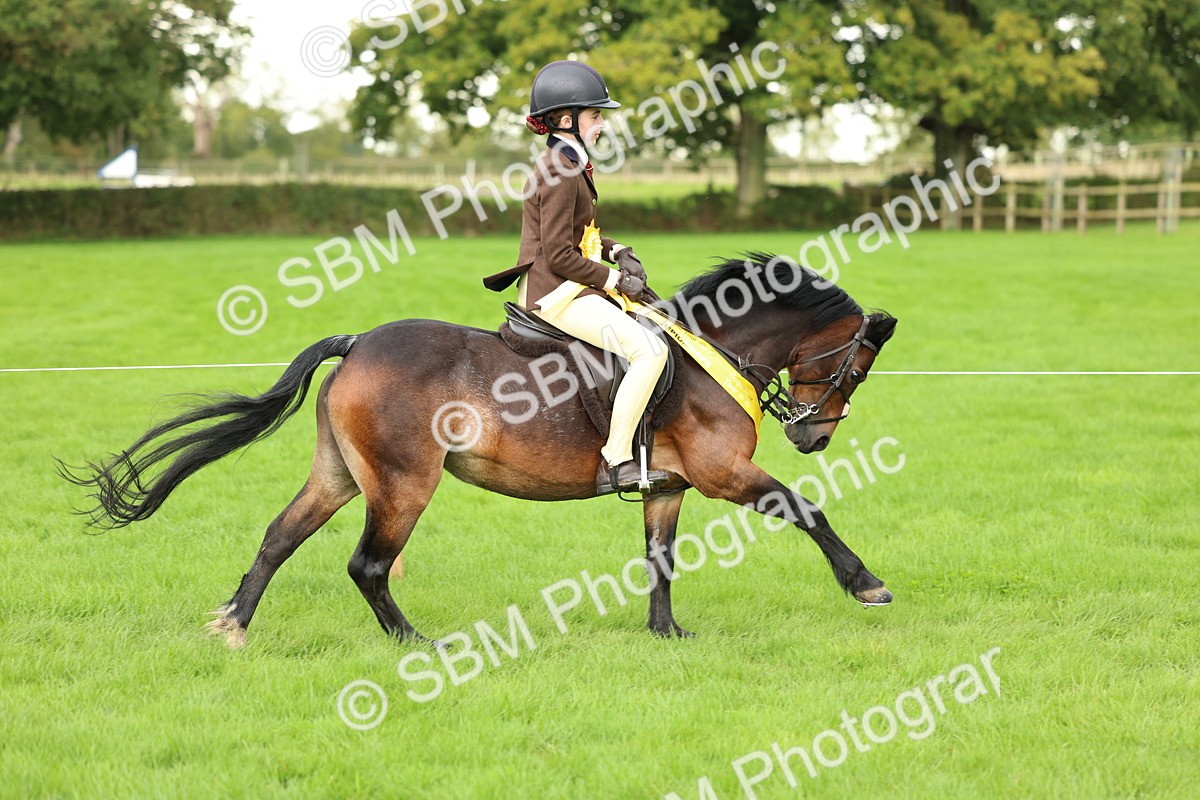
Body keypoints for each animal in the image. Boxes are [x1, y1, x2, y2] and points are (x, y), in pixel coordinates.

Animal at [61, 253, 897, 647]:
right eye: (854, 367)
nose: (814, 435)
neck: (707, 352)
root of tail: (359, 342)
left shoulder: (669, 485)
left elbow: (659, 557)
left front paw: (666, 634)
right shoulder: (725, 475)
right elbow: (809, 511)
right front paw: (866, 585)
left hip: (338, 475)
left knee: (278, 537)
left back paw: (234, 623)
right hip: (403, 484)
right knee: (367, 564)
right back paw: (415, 643)